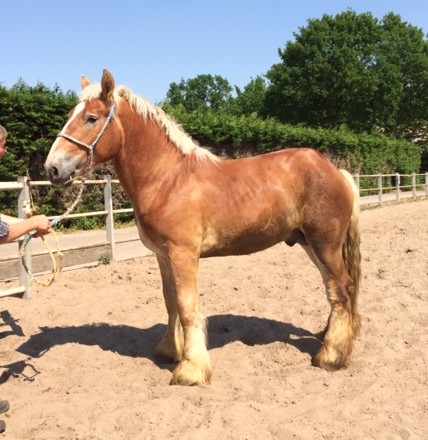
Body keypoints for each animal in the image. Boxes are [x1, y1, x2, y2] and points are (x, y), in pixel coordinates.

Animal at [45, 69, 362, 384]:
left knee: (341, 289)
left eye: (91, 118)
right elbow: (171, 302)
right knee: (335, 289)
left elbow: (187, 307)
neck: (168, 179)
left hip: (325, 243)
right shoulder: (163, 256)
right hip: (310, 243)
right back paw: (330, 337)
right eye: (71, 114)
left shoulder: (183, 254)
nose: (52, 169)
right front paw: (169, 351)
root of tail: (336, 171)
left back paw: (331, 356)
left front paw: (191, 369)